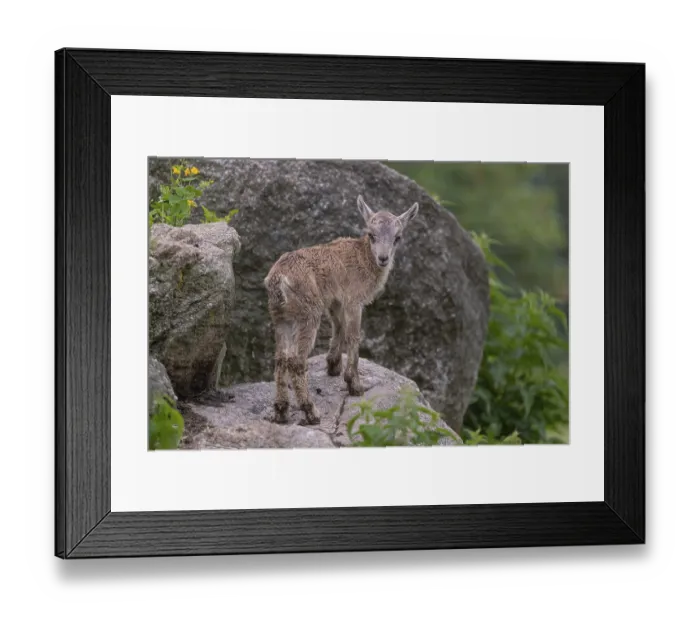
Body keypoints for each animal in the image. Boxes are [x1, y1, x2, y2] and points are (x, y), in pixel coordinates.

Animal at [263, 195, 419, 425]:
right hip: (308, 314)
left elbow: (339, 327)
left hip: (282, 317)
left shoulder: (336, 300)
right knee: (297, 361)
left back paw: (281, 410)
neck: (363, 258)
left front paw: (333, 365)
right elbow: (353, 336)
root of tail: (278, 279)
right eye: (371, 234)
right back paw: (311, 411)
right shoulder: (354, 301)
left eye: (397, 237)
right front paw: (354, 384)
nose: (383, 258)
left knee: (281, 358)